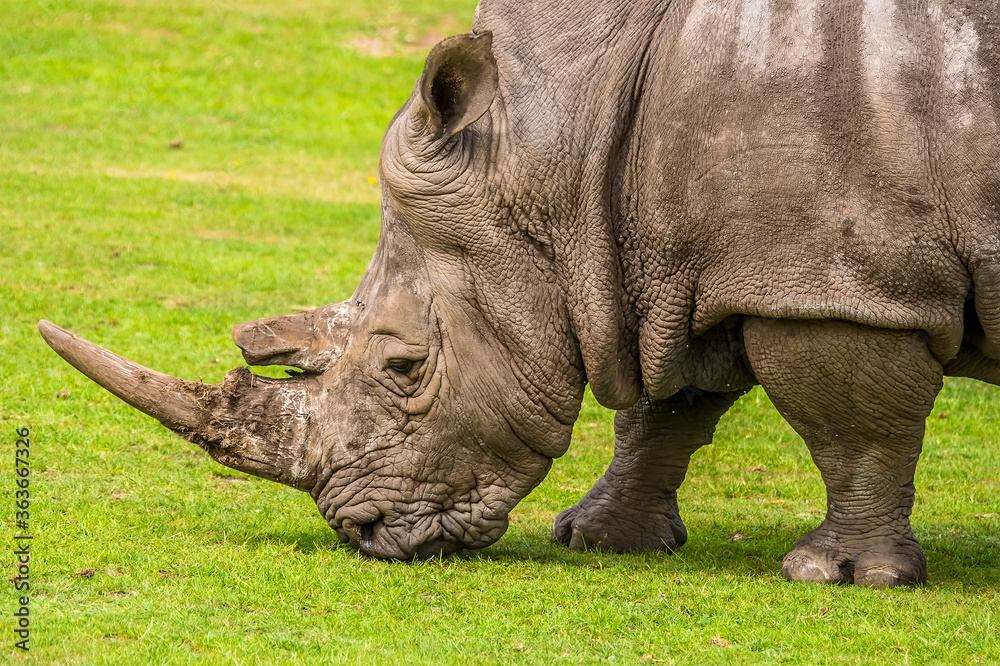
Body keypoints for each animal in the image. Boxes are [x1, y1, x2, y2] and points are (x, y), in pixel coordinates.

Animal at [40, 0, 1000, 587]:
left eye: (404, 367)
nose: (365, 537)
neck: (559, 132)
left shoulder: (836, 283)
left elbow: (852, 429)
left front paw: (841, 577)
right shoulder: (672, 262)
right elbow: (669, 404)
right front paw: (601, 540)